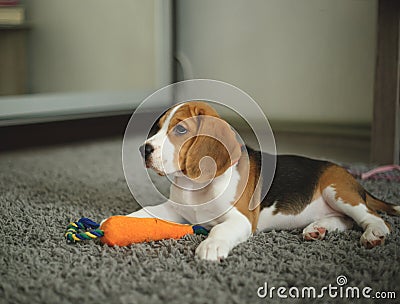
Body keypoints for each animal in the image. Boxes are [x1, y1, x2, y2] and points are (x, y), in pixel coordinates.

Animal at [130, 101, 398, 260]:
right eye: (157, 127)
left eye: (181, 130)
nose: (143, 149)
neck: (195, 187)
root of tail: (351, 177)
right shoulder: (176, 209)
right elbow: (146, 212)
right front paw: (124, 221)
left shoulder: (242, 219)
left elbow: (219, 228)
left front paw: (211, 246)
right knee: (346, 221)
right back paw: (317, 228)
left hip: (337, 191)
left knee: (374, 219)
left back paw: (373, 234)